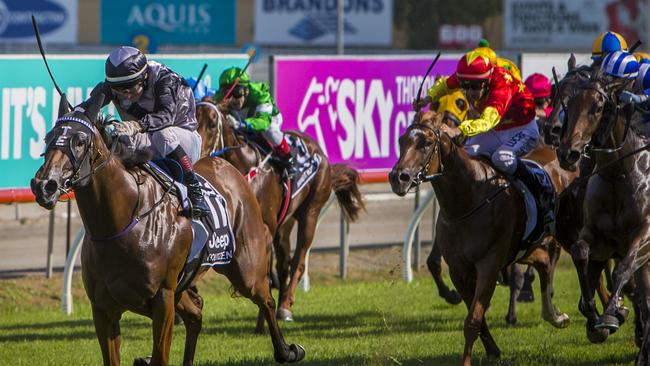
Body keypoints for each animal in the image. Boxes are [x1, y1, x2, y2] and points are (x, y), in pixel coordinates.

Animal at [29, 93, 304, 364]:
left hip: (246, 267)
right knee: (196, 313)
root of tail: (228, 168)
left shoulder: (162, 299)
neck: (120, 225)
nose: (44, 185)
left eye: (79, 141)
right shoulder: (103, 309)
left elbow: (161, 355)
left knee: (265, 299)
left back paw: (287, 349)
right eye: (48, 137)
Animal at [192, 100, 364, 320]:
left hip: (310, 213)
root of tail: (319, 151)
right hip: (284, 225)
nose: (196, 155)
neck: (246, 169)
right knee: (283, 265)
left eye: (213, 124)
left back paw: (285, 306)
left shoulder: (264, 228)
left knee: (298, 261)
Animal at [384, 110, 568, 364]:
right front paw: (493, 350)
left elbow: (473, 320)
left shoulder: (489, 264)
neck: (468, 200)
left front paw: (468, 360)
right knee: (544, 264)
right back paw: (556, 315)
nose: (398, 177)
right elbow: (476, 315)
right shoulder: (458, 268)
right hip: (528, 246)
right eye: (401, 141)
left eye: (427, 143)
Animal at [552, 66, 648, 364]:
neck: (619, 174)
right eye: (568, 104)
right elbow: (581, 254)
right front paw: (593, 315)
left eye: (597, 107)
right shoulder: (593, 236)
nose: (567, 152)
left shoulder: (644, 235)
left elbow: (622, 270)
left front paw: (611, 314)